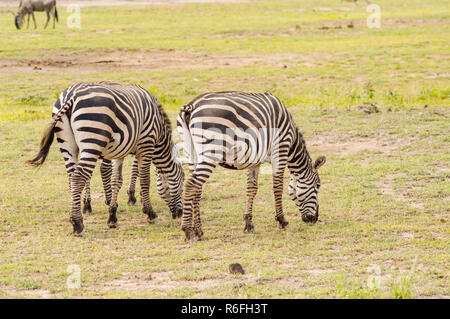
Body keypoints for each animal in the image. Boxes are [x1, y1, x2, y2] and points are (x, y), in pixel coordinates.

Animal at [26, 82, 183, 238]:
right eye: (182, 185)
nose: (180, 214)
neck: (160, 133)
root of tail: (71, 95)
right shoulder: (146, 144)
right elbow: (144, 179)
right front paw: (150, 213)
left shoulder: (121, 149)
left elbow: (116, 180)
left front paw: (112, 216)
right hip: (93, 137)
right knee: (79, 177)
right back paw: (78, 224)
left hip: (68, 145)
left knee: (72, 178)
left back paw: (80, 211)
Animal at [177, 91, 326, 241]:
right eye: (318, 185)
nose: (314, 219)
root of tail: (192, 105)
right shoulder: (280, 149)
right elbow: (278, 187)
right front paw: (282, 220)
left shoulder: (255, 160)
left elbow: (251, 189)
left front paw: (248, 224)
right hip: (212, 151)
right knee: (191, 185)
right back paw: (188, 230)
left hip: (191, 152)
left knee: (197, 189)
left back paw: (198, 231)